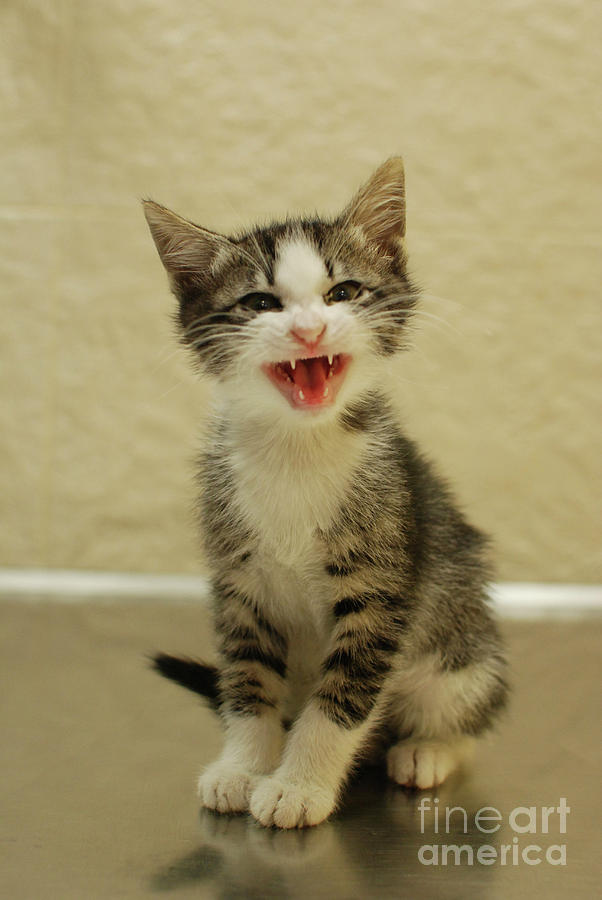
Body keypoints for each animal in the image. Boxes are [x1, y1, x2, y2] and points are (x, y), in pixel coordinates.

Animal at [144, 160, 506, 828]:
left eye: (343, 293)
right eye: (260, 303)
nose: (309, 329)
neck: (297, 448)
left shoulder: (381, 587)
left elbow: (342, 697)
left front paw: (299, 785)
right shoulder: (239, 584)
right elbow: (247, 682)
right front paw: (243, 766)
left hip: (460, 644)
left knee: (464, 706)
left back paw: (429, 748)